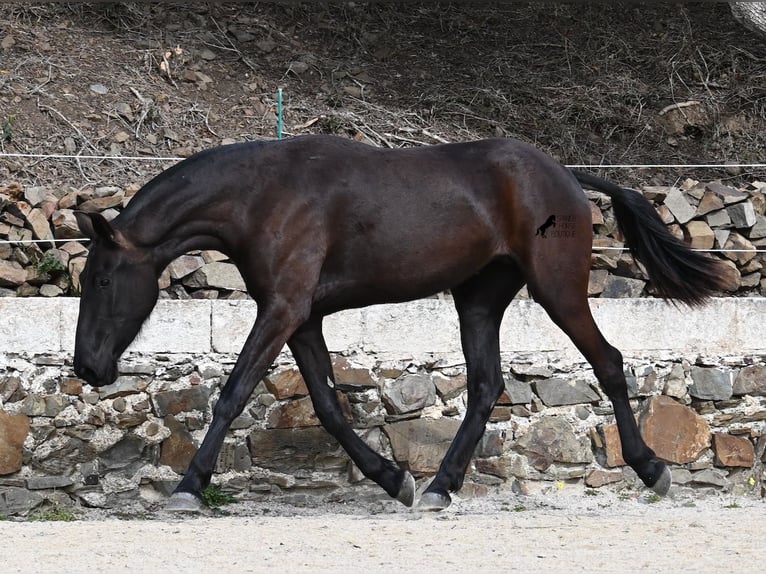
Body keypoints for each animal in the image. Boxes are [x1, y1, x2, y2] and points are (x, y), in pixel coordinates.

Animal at [73, 136, 732, 512]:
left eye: (101, 279)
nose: (87, 366)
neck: (263, 194)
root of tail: (566, 176)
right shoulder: (301, 317)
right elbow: (330, 406)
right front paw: (393, 479)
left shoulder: (282, 310)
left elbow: (233, 394)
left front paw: (189, 486)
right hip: (478, 302)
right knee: (487, 386)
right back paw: (440, 485)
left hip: (558, 291)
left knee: (609, 363)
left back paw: (652, 469)